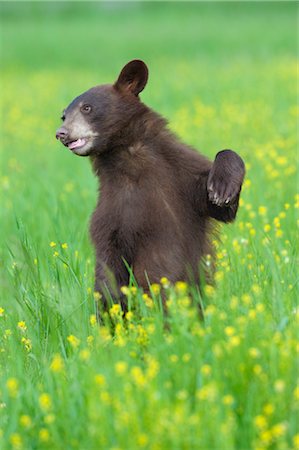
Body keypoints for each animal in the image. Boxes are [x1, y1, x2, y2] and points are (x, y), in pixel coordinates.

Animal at [56, 59, 246, 310]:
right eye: (64, 116)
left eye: (87, 108)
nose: (61, 133)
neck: (130, 161)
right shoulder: (111, 211)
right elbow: (109, 268)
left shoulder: (181, 177)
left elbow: (220, 204)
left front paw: (222, 188)